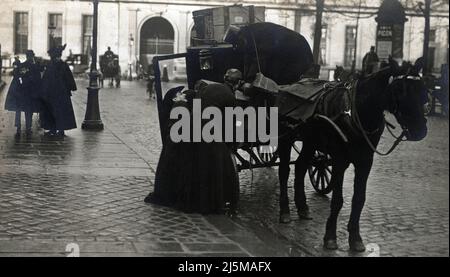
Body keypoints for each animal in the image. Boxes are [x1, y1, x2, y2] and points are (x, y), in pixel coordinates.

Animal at [276, 57, 428, 251]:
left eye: (422, 90)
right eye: (399, 90)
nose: (420, 131)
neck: (355, 112)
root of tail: (287, 86)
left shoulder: (365, 161)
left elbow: (359, 199)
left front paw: (355, 237)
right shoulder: (340, 160)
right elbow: (337, 200)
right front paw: (330, 236)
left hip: (310, 142)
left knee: (301, 166)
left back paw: (302, 207)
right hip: (285, 138)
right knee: (284, 171)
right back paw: (285, 211)